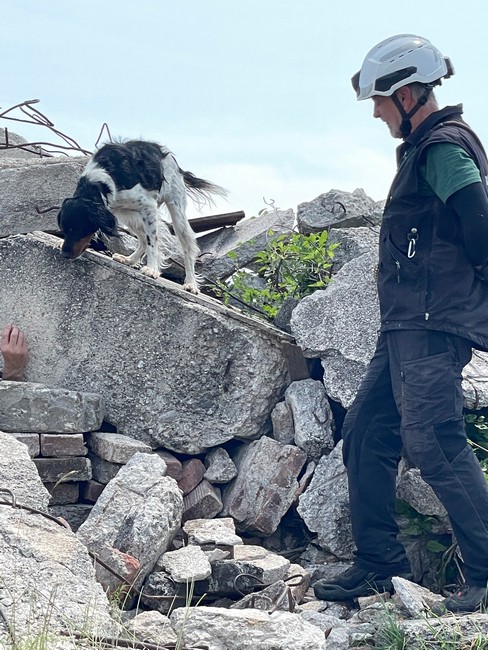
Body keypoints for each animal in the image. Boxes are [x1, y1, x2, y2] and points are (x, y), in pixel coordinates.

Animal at [57, 139, 226, 293]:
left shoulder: (148, 207)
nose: (64, 254)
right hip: (129, 216)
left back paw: (191, 283)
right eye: (64, 230)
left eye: (78, 230)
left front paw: (151, 269)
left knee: (187, 247)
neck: (100, 181)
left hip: (176, 214)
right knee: (143, 239)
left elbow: (153, 242)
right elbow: (148, 240)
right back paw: (129, 260)